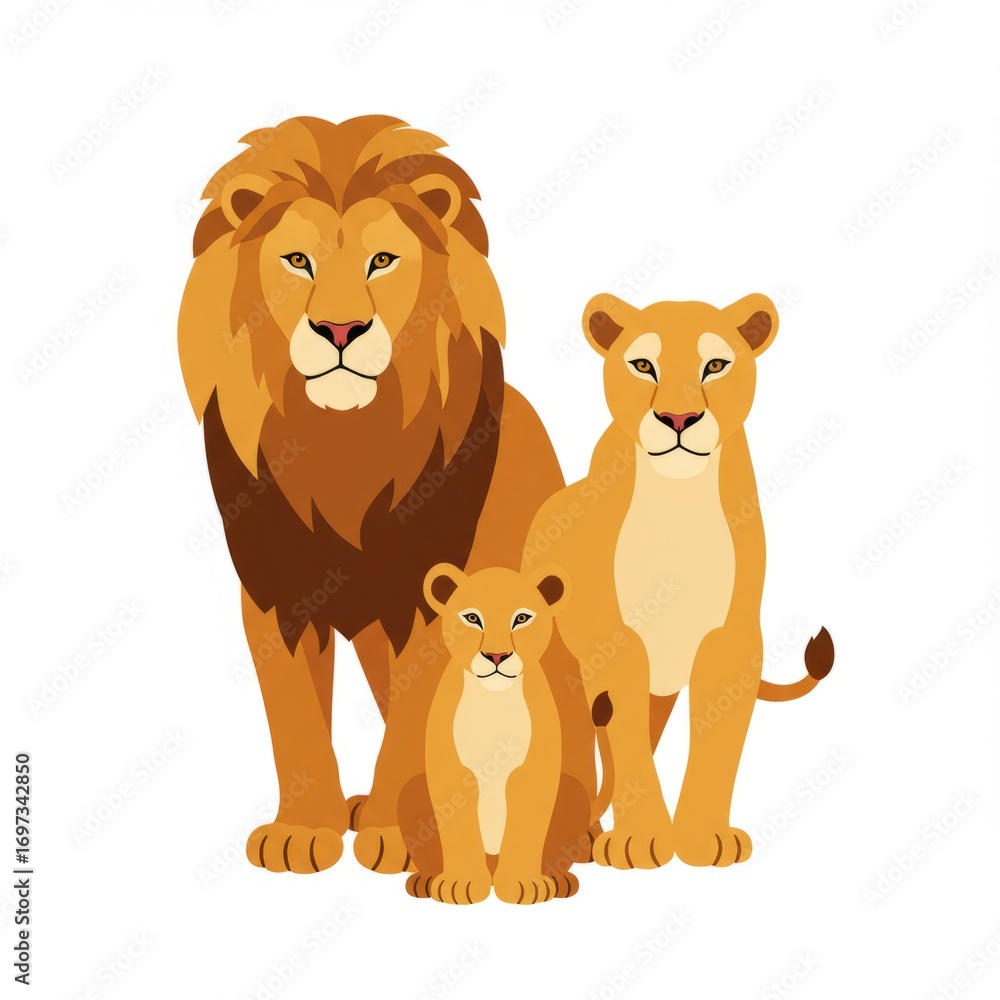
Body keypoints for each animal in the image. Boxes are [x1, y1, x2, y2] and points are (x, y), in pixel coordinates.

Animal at [178, 115, 594, 874]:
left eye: (383, 262)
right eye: (297, 261)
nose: (340, 330)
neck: (342, 440)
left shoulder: (430, 597)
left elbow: (414, 720)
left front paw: (398, 837)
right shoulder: (275, 591)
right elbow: (295, 721)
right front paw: (303, 830)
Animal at [398, 563, 598, 904]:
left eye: (521, 618)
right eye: (472, 618)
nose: (496, 656)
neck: (493, 702)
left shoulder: (534, 770)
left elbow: (526, 826)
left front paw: (525, 885)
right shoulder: (451, 770)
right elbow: (457, 827)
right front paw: (459, 885)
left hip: (574, 792)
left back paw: (558, 881)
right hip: (411, 790)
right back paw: (426, 881)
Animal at [522, 293, 834, 870]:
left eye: (715, 365)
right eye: (644, 365)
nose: (679, 418)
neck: (678, 502)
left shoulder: (731, 641)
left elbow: (715, 747)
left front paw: (705, 839)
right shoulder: (615, 642)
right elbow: (622, 740)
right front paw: (638, 842)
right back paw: (578, 836)